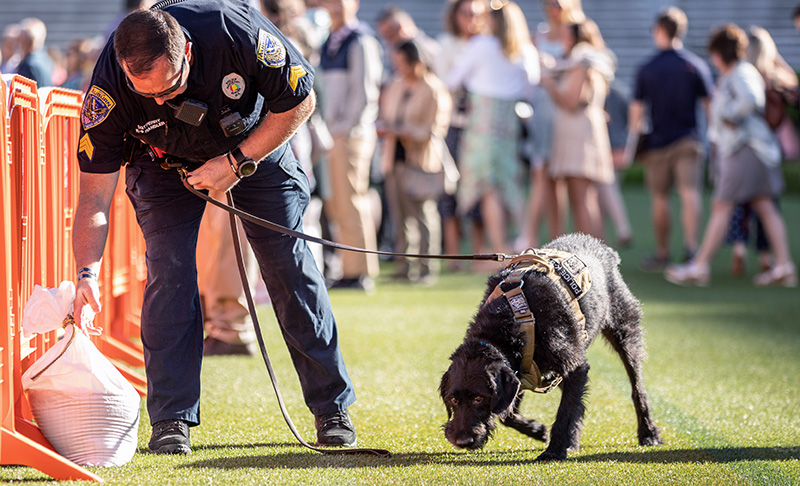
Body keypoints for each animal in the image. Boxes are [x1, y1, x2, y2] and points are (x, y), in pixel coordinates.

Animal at [438, 234, 664, 462]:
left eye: (478, 398)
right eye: (453, 399)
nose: (462, 441)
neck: (509, 321)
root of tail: (600, 246)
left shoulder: (575, 366)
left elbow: (564, 411)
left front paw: (554, 450)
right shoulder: (522, 371)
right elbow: (508, 414)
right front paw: (537, 430)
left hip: (624, 332)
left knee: (637, 387)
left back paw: (648, 433)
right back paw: (572, 441)